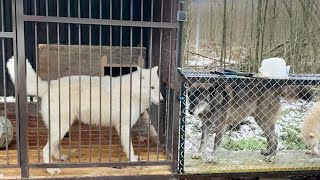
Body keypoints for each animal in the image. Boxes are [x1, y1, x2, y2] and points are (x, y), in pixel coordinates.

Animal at [6, 56, 164, 174]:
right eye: (152, 87)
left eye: (158, 87)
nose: (162, 100)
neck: (133, 92)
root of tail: (49, 84)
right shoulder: (124, 126)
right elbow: (129, 147)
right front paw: (133, 161)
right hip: (62, 127)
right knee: (45, 149)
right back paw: (51, 169)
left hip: (60, 128)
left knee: (53, 146)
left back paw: (59, 157)